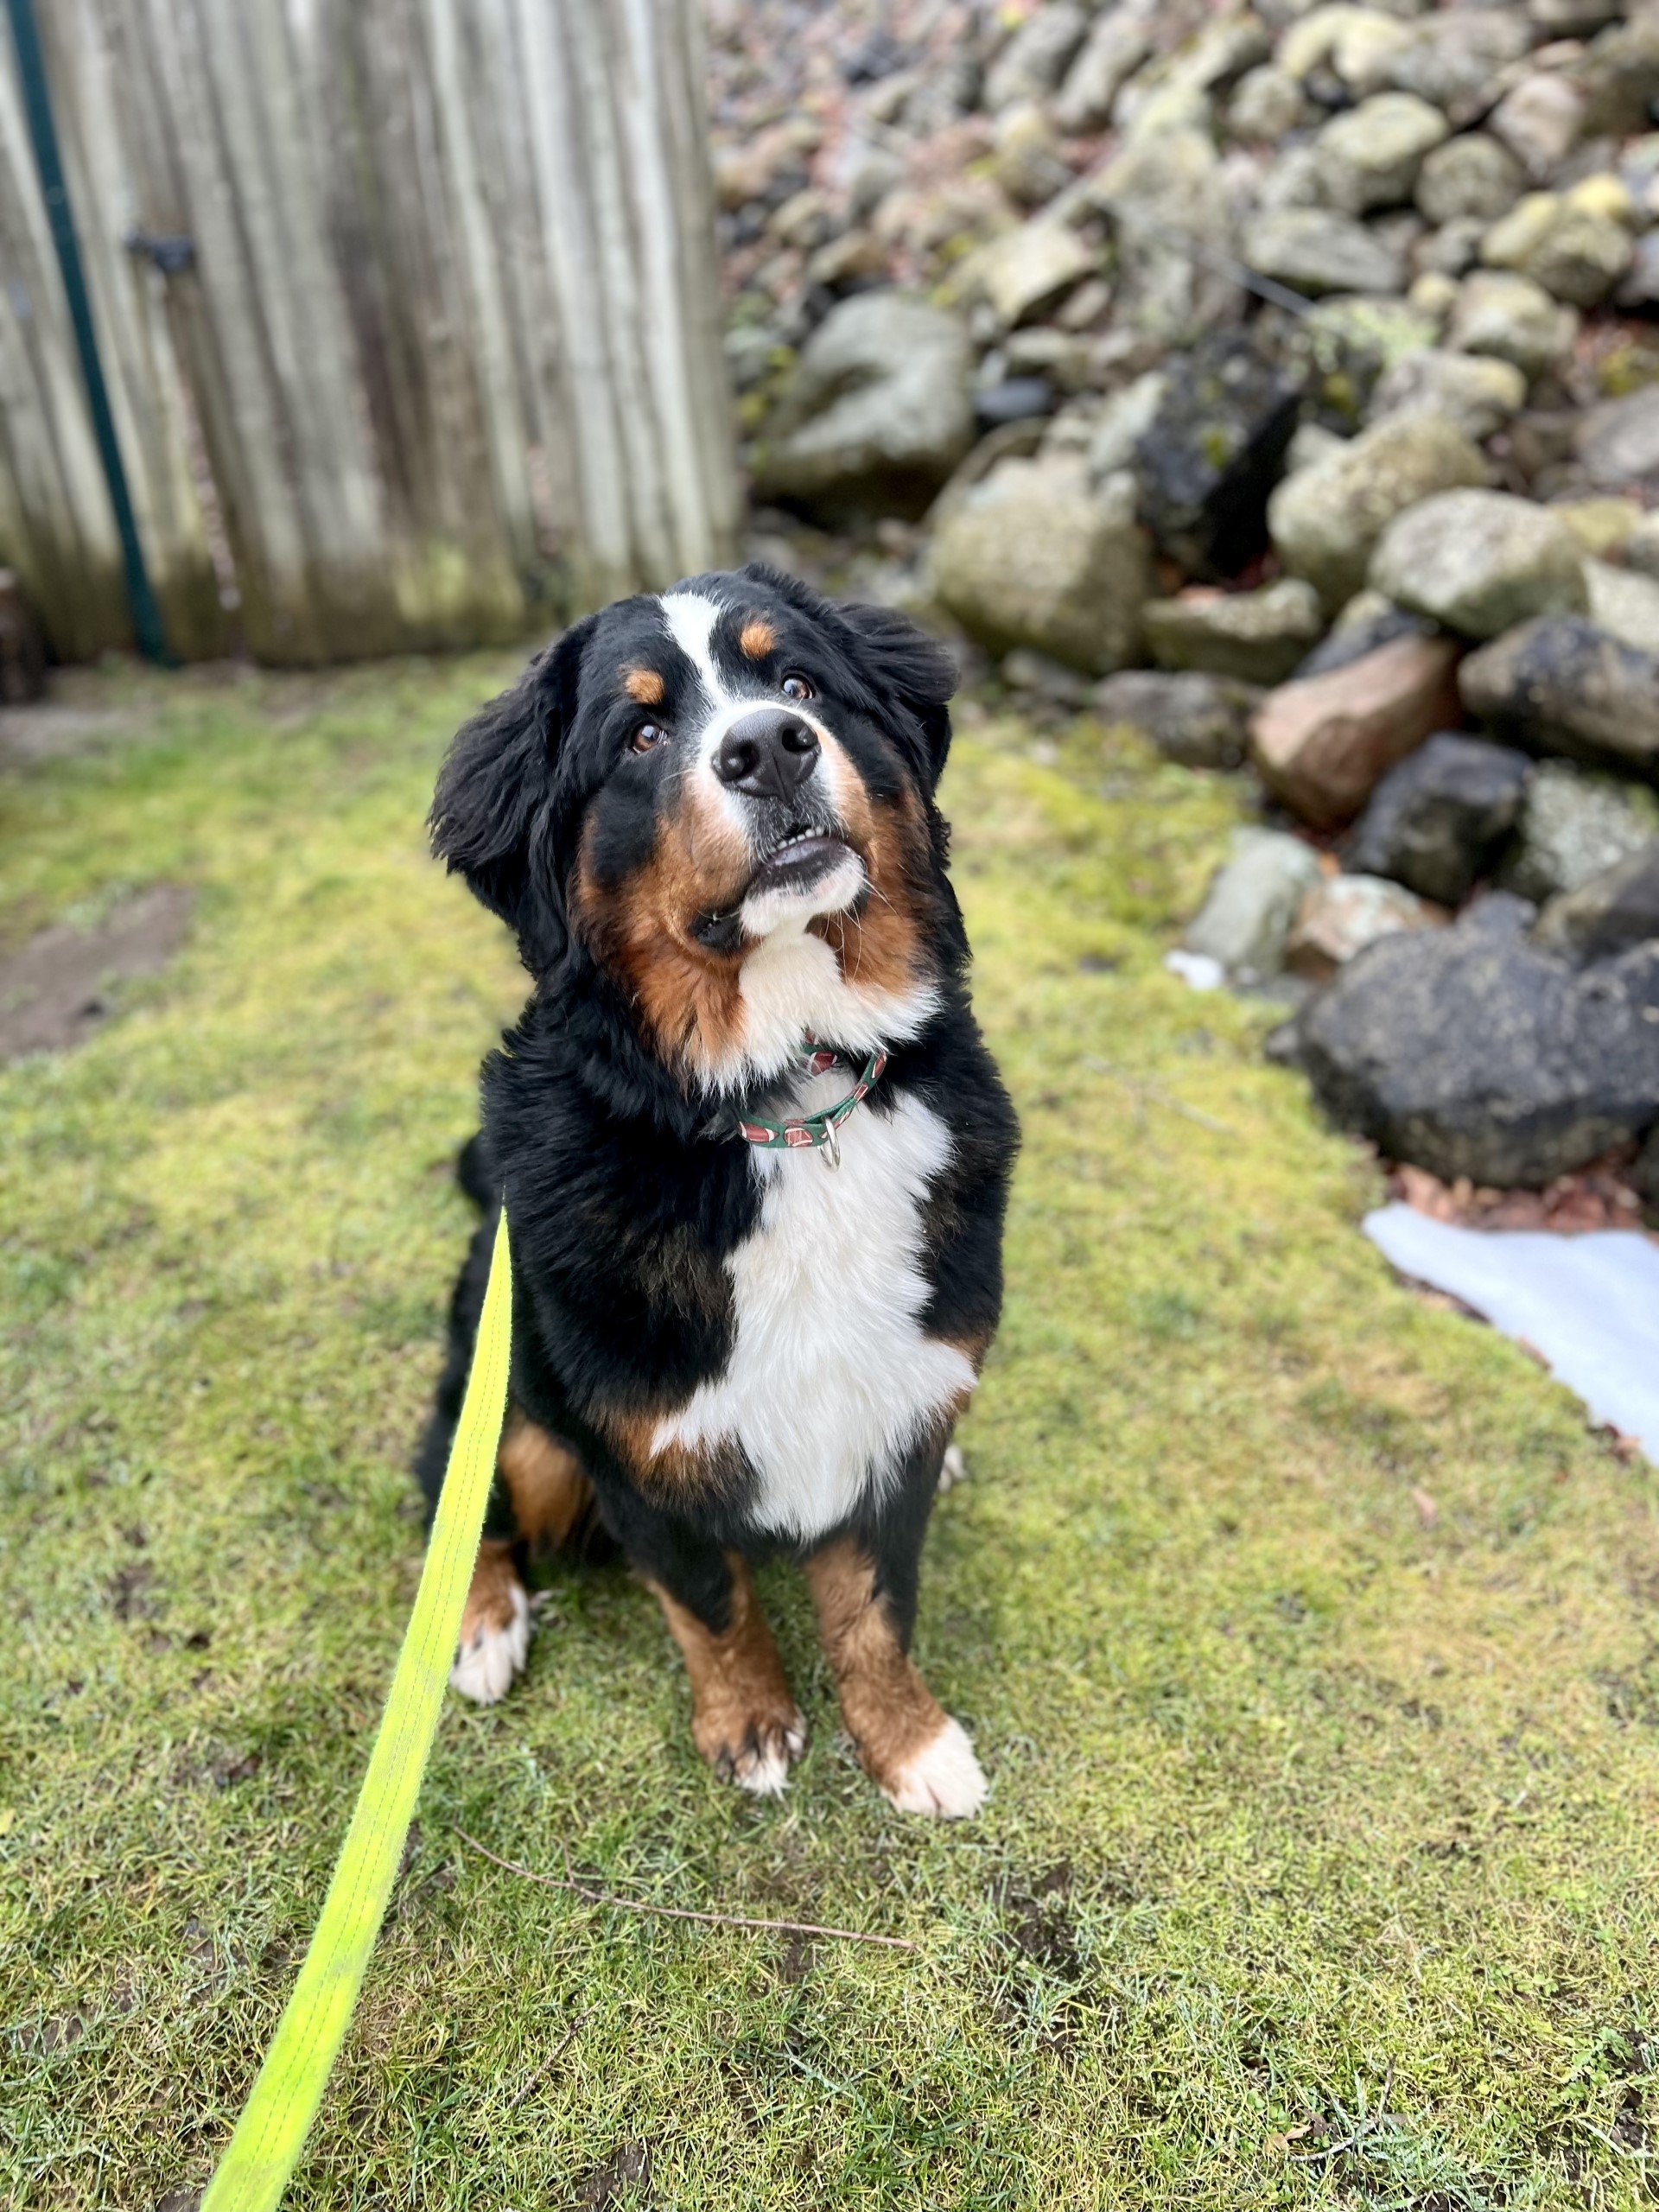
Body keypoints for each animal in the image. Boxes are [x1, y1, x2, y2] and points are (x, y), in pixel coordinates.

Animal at [417, 566, 1013, 1814]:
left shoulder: (895, 1408)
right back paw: (482, 1625)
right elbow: (712, 1599)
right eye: (641, 735)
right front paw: (750, 1726)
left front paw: (911, 1744)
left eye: (799, 683)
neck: (789, 1104)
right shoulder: (638, 1448)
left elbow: (876, 1611)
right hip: (514, 1405)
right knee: (457, 1485)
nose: (771, 747)